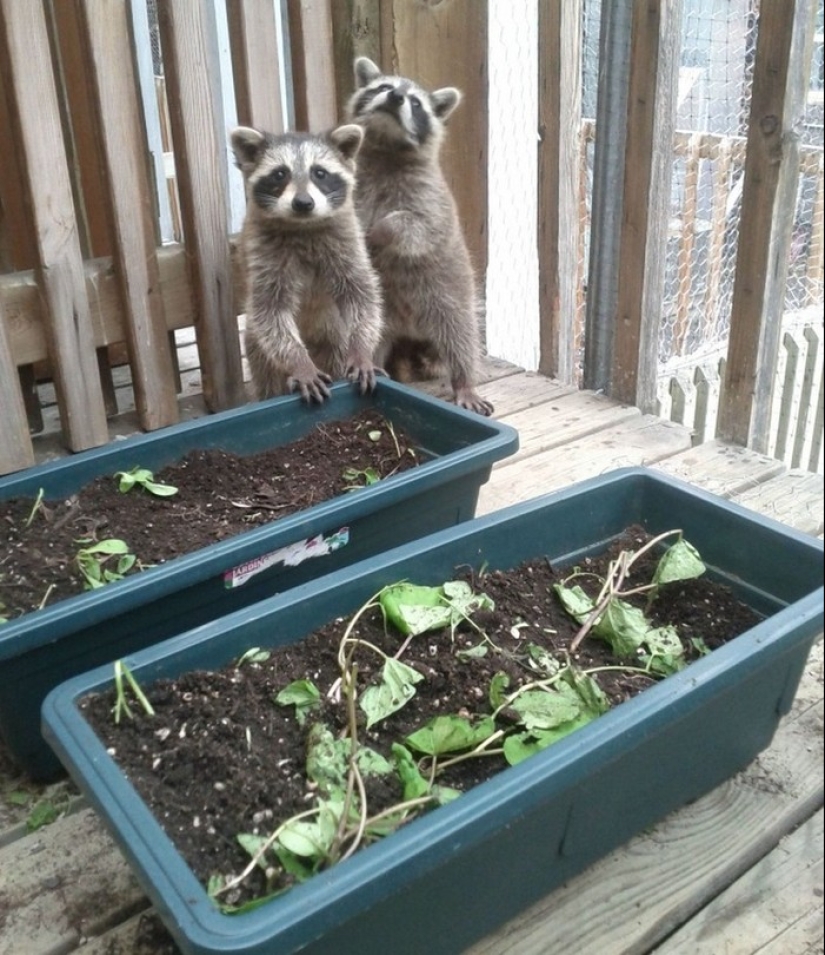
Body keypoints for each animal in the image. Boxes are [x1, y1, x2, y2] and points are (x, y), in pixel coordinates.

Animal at [232, 122, 384, 400]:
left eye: (319, 173)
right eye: (280, 174)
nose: (303, 203)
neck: (303, 226)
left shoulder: (347, 246)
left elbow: (362, 298)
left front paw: (362, 349)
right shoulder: (264, 256)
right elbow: (271, 314)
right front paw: (299, 361)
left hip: (335, 337)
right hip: (256, 347)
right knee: (265, 368)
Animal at [344, 58, 492, 416]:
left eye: (415, 103)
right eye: (383, 87)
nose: (396, 96)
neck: (387, 149)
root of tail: (411, 330)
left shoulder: (431, 199)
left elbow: (416, 226)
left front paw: (382, 230)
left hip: (448, 295)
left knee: (461, 336)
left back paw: (464, 379)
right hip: (383, 311)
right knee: (371, 329)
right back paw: (369, 357)